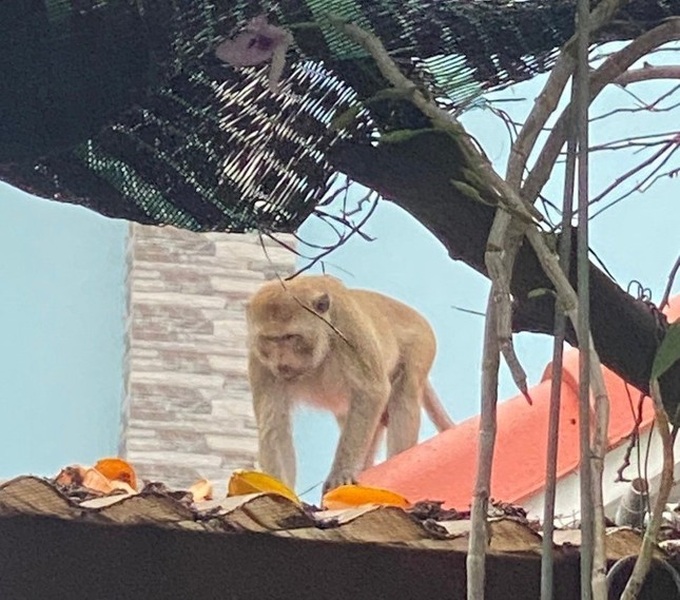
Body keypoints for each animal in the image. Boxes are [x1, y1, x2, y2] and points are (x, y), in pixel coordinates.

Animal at [245, 274, 455, 494]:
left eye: (290, 337)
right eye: (270, 339)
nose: (281, 363)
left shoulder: (347, 327)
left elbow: (371, 390)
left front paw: (341, 472)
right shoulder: (260, 362)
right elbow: (274, 424)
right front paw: (279, 489)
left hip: (423, 344)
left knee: (405, 393)